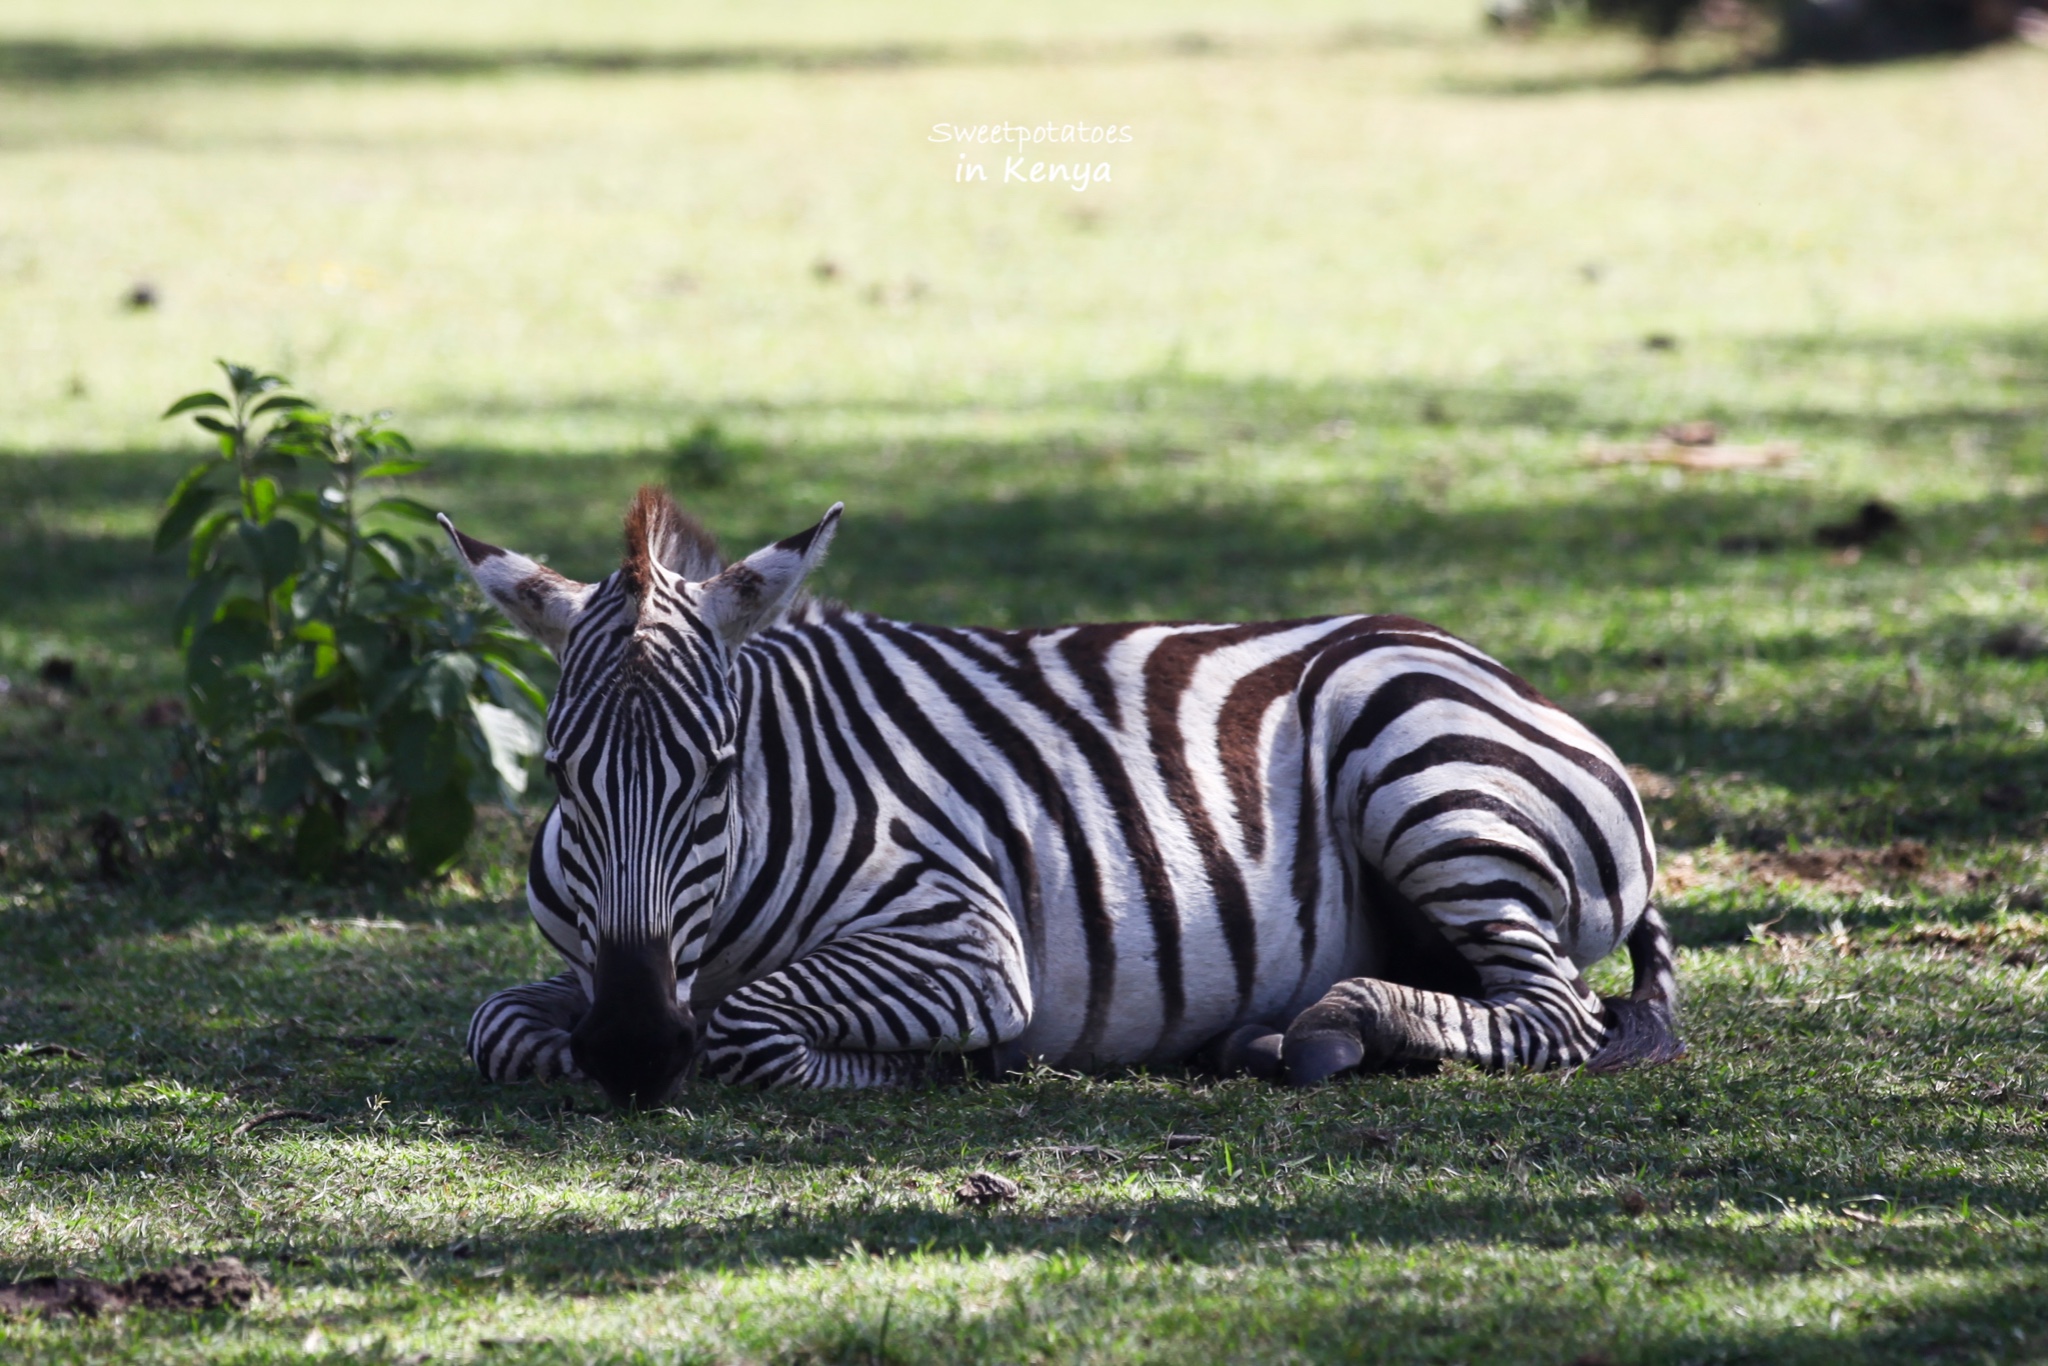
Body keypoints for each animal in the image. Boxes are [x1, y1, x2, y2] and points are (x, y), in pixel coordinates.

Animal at [444, 491, 1679, 1114]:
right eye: (559, 776)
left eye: (715, 767)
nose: (633, 1047)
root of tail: (1502, 673)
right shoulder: (595, 959)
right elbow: (497, 1025)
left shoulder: (965, 938)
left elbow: (751, 1028)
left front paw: (936, 1064)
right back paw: (1270, 1035)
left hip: (1422, 764)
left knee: (1554, 1010)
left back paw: (1338, 1026)